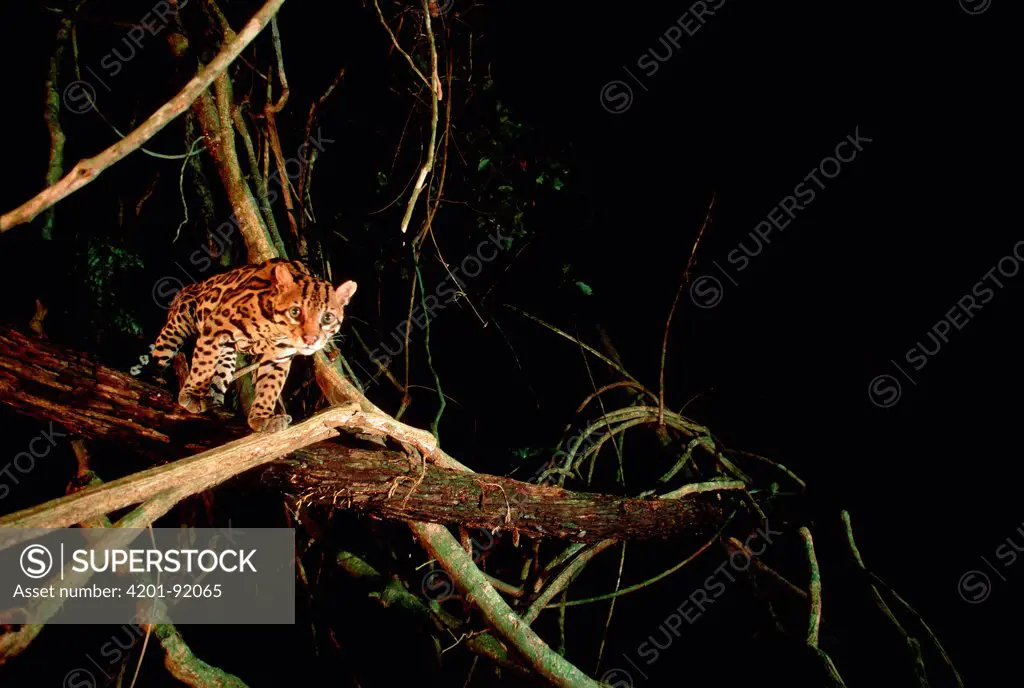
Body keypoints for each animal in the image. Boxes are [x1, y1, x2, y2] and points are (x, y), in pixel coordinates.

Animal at [149, 258, 358, 430]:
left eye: (327, 317)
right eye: (295, 312)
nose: (310, 340)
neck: (274, 330)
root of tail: (194, 285)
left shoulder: (278, 357)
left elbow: (270, 386)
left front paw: (262, 417)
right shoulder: (215, 327)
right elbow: (204, 365)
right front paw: (193, 395)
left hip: (227, 354)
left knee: (221, 373)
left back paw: (214, 400)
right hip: (176, 326)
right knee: (161, 353)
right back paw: (157, 379)